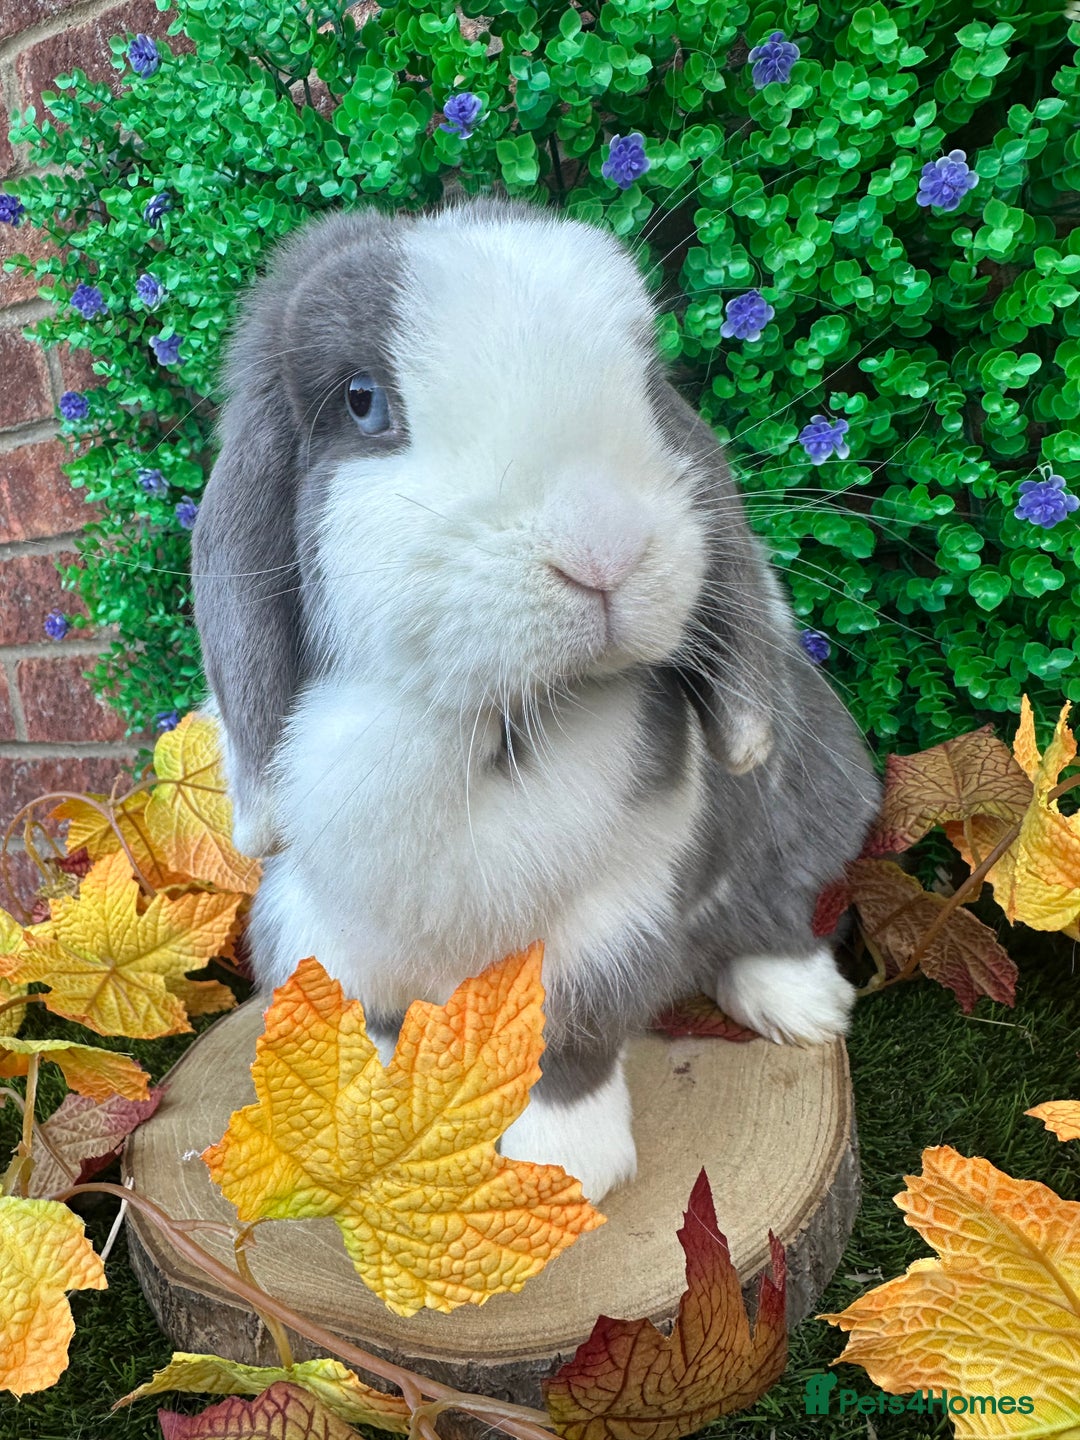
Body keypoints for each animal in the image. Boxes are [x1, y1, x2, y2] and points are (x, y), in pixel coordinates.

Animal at [192, 196, 881, 1204]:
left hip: (819, 798)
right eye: (363, 399)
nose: (605, 547)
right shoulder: (326, 929)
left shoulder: (611, 915)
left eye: (646, 381)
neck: (478, 723)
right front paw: (374, 1124)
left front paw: (565, 1165)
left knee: (777, 904)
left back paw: (802, 1004)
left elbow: (569, 1033)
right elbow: (376, 1027)